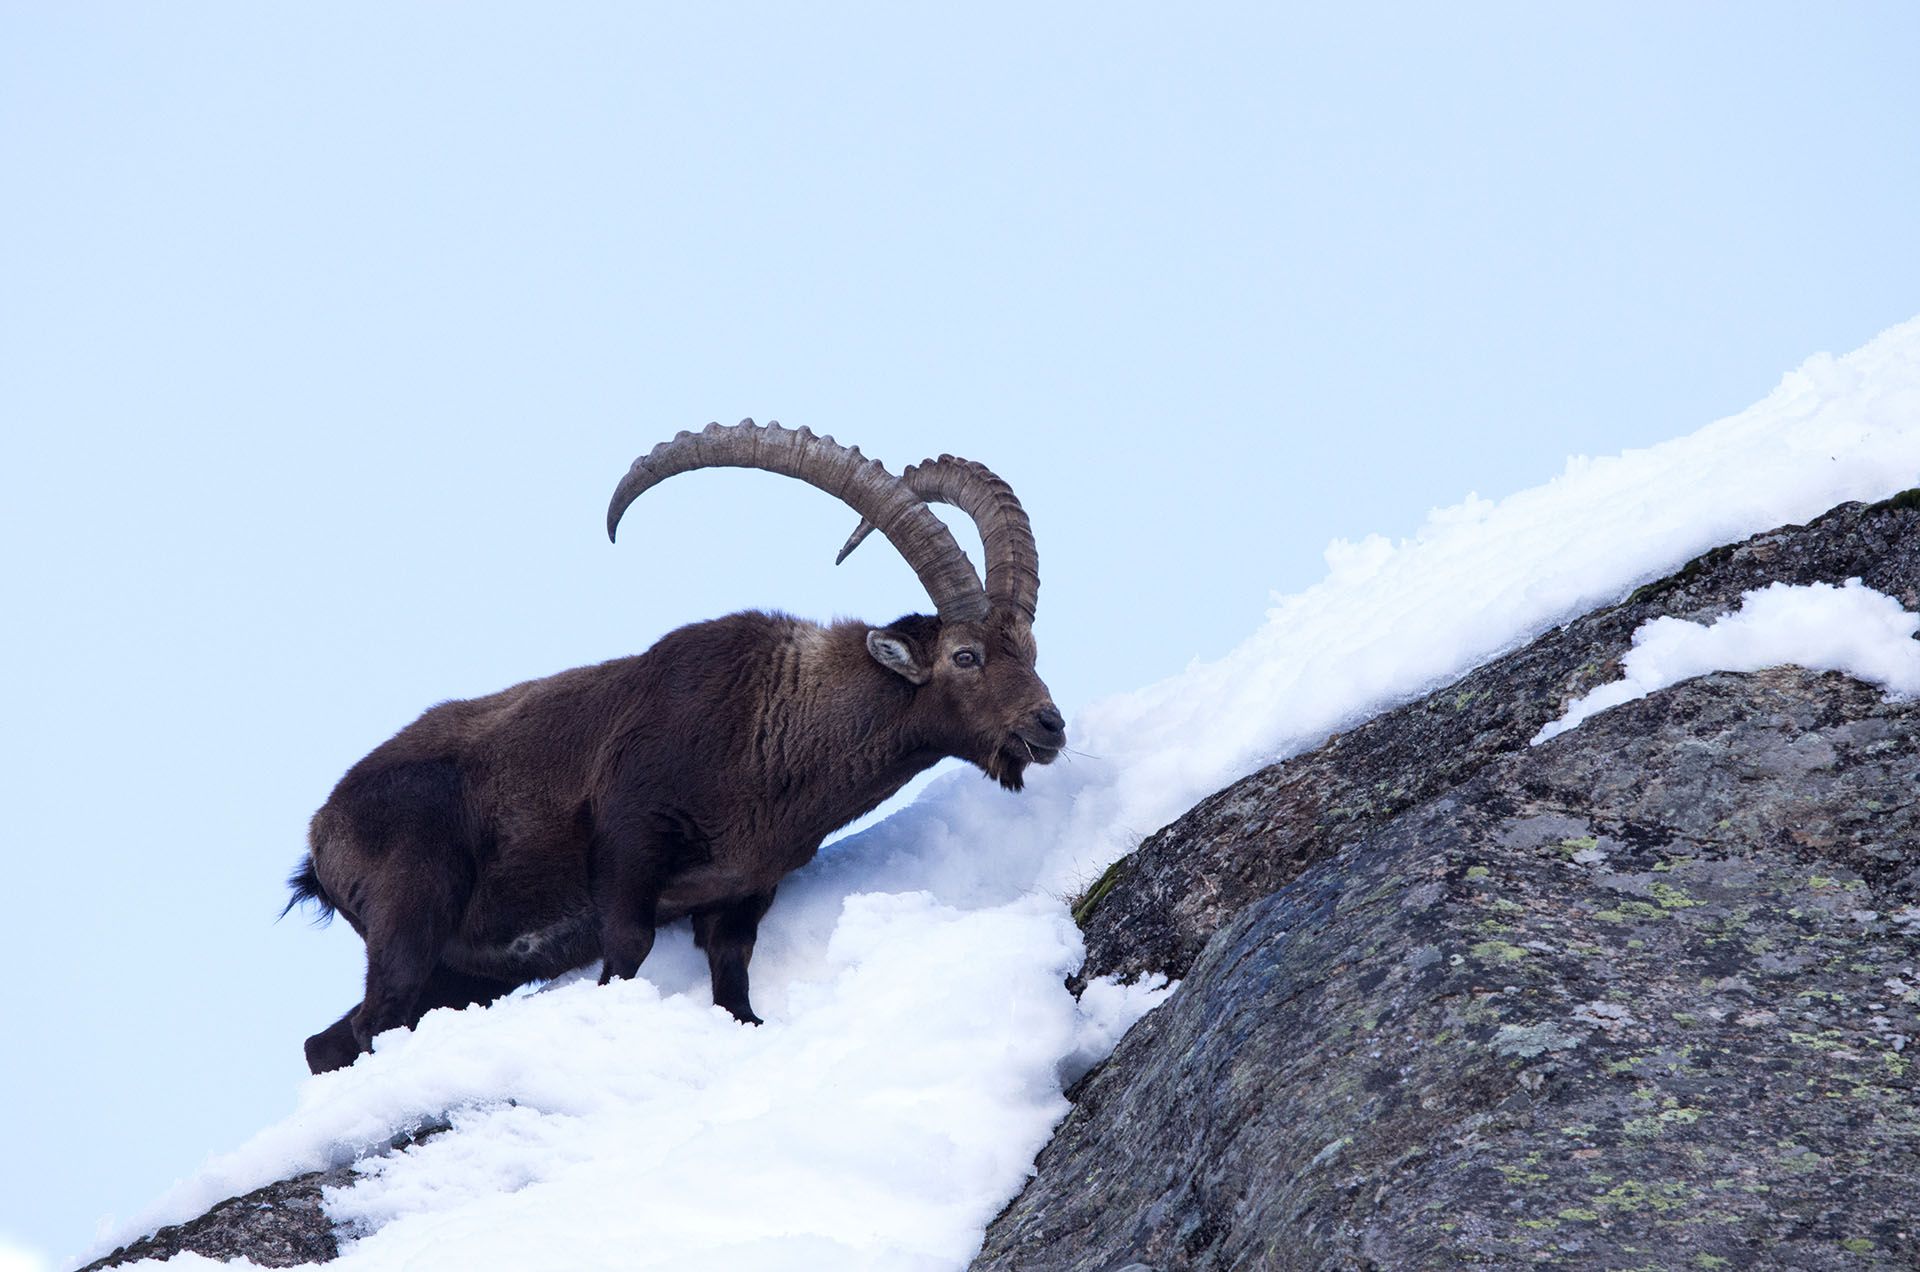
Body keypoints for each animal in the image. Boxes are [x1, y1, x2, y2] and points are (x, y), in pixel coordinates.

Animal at [288, 420, 1063, 1073]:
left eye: (1028, 649)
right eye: (965, 656)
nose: (1050, 725)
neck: (773, 730)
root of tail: (322, 835)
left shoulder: (742, 892)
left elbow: (733, 980)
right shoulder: (628, 847)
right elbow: (626, 951)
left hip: (460, 971)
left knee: (327, 1041)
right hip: (413, 907)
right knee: (374, 1020)